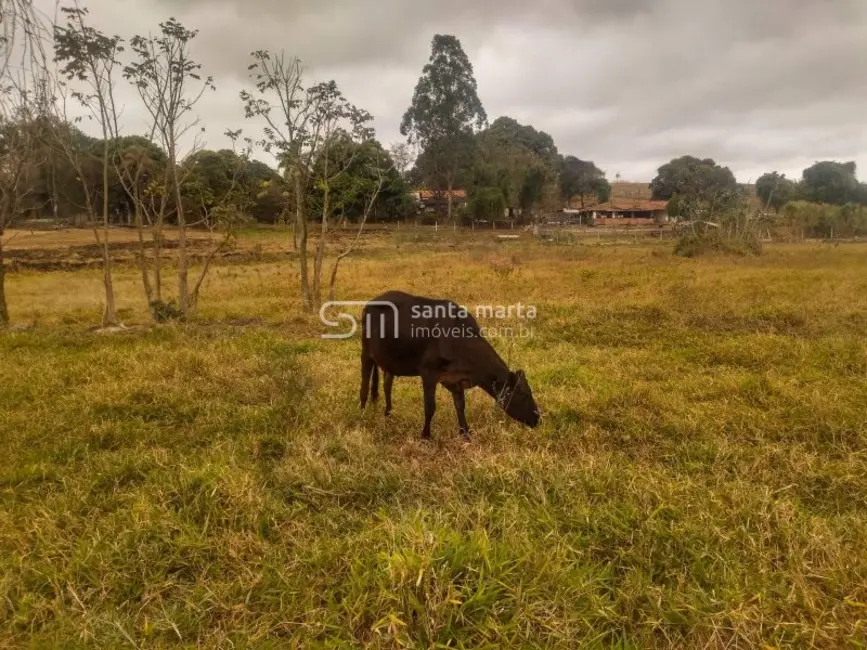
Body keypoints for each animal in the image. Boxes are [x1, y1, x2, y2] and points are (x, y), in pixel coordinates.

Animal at [362, 290, 544, 438]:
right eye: (524, 394)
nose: (537, 418)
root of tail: (372, 301)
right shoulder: (428, 373)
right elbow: (430, 407)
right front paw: (426, 435)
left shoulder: (455, 379)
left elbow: (460, 405)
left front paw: (466, 433)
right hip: (366, 352)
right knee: (365, 382)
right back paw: (362, 411)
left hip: (390, 360)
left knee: (386, 385)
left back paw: (388, 413)